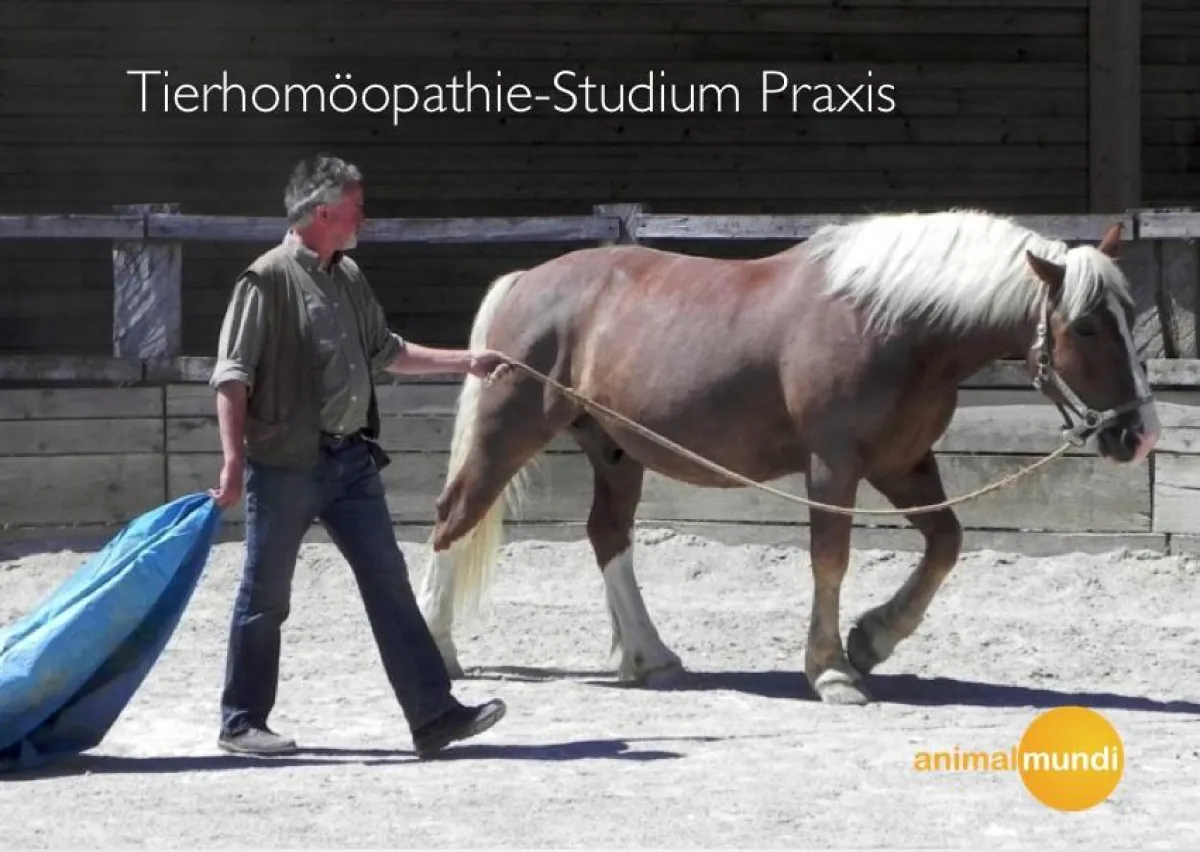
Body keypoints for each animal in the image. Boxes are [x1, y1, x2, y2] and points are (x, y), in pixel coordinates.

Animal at [413, 207, 1160, 705]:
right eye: (1085, 327)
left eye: (1126, 318)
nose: (1140, 433)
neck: (890, 322)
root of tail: (525, 282)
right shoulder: (834, 465)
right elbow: (830, 558)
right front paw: (831, 669)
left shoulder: (903, 462)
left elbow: (946, 543)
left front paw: (874, 638)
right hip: (508, 432)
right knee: (454, 517)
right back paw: (441, 652)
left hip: (616, 452)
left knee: (608, 537)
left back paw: (650, 657)